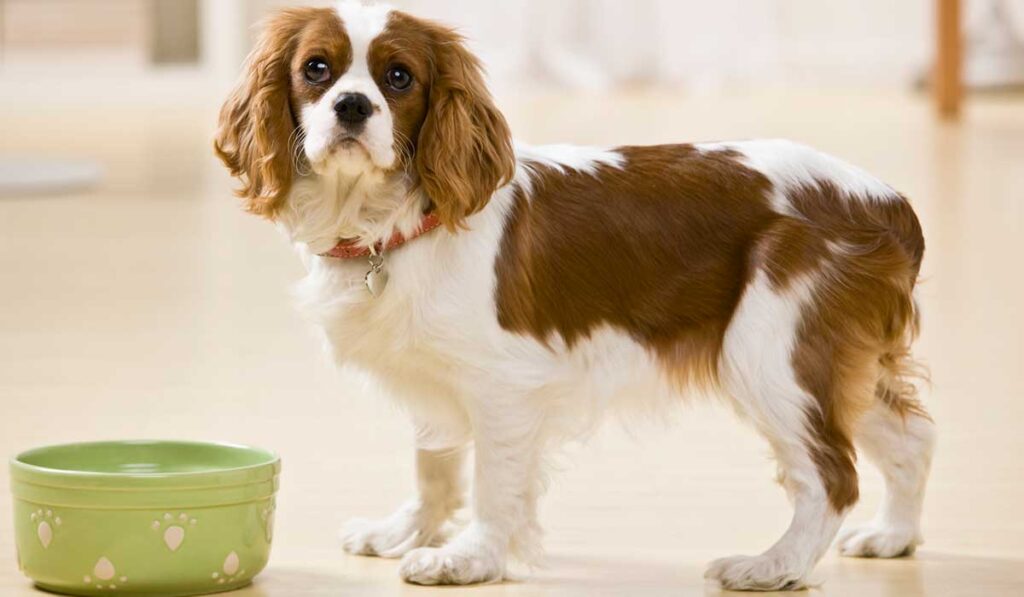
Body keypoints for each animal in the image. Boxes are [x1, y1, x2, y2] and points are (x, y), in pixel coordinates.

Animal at [216, 1, 937, 593]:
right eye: (316, 69)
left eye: (398, 78)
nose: (352, 107)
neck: (392, 223)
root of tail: (886, 201)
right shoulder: (435, 373)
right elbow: (435, 462)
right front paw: (408, 531)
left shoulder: (502, 384)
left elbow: (492, 481)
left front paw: (469, 558)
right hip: (835, 361)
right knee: (912, 437)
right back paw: (893, 536)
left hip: (769, 357)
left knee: (831, 475)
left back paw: (773, 566)